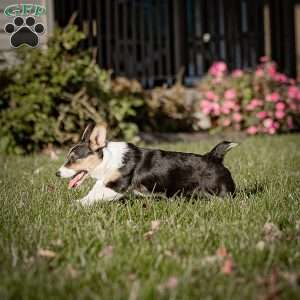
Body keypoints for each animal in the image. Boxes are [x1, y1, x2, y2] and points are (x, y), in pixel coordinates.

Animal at [56, 123, 238, 205]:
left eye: (73, 158)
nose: (56, 173)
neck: (106, 159)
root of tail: (213, 157)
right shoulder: (105, 183)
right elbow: (92, 193)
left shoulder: (116, 186)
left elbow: (92, 197)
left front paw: (74, 205)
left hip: (219, 191)